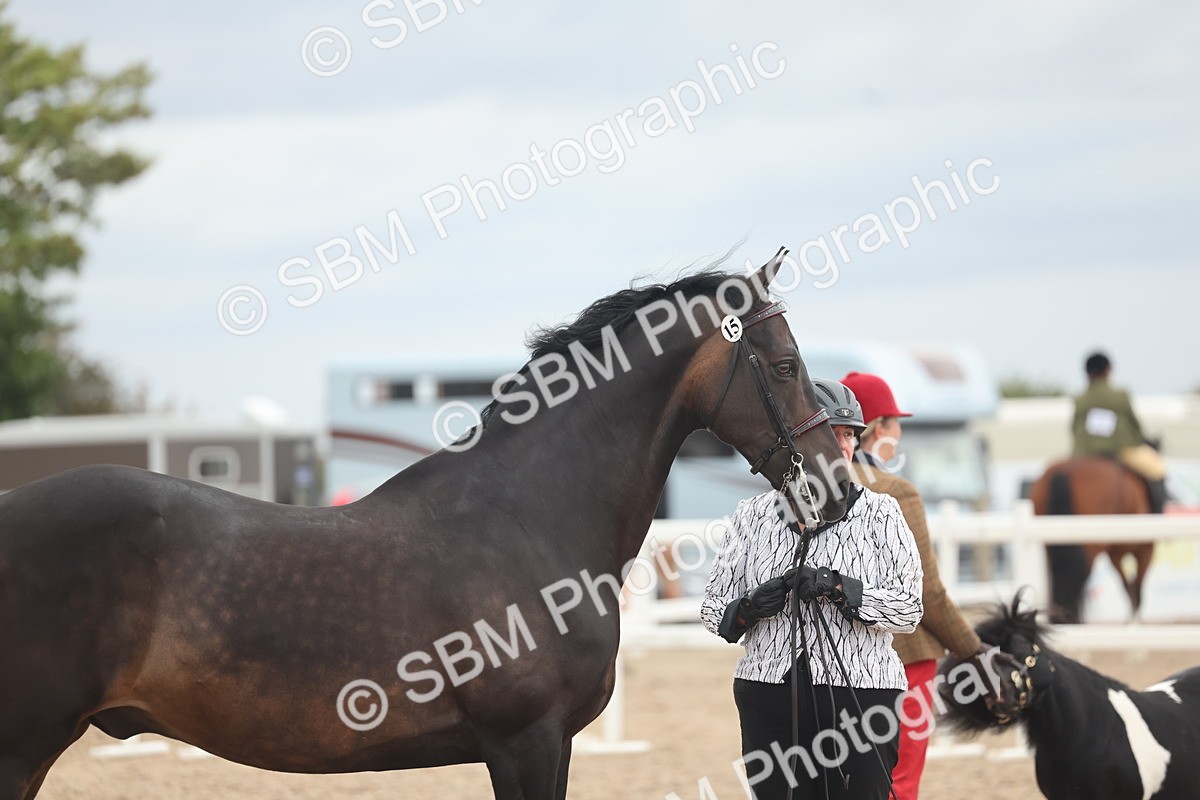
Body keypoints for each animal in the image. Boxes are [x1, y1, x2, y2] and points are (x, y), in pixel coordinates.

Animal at [1029, 457, 1154, 623]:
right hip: (1090, 547)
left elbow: (1128, 587)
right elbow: (1137, 590)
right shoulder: (1145, 550)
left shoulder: (1116, 554)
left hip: (1051, 546)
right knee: (1079, 578)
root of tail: (1065, 471)